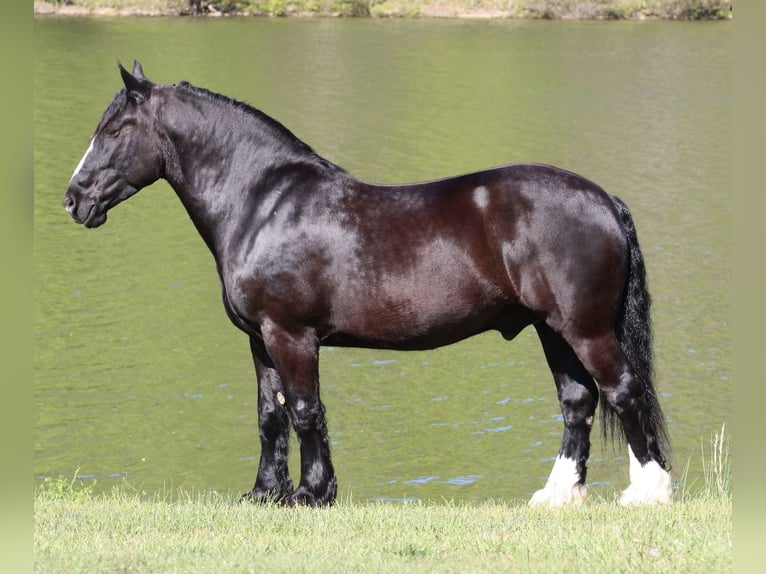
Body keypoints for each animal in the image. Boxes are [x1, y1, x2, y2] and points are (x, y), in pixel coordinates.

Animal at [64, 60, 672, 506]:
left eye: (115, 129)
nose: (74, 199)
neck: (262, 203)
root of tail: (605, 200)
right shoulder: (259, 339)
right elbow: (269, 416)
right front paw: (264, 493)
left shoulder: (290, 335)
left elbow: (304, 410)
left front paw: (312, 494)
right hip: (552, 329)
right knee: (578, 401)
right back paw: (557, 496)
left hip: (585, 329)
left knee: (622, 391)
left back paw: (647, 493)